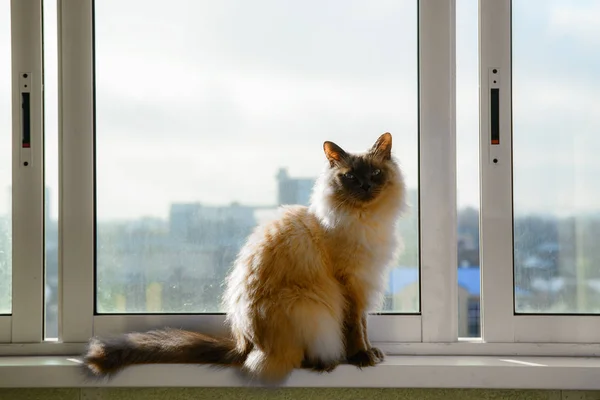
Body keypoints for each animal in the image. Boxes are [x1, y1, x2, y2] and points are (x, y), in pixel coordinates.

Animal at [82, 133, 406, 382]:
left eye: (375, 174)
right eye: (350, 177)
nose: (365, 186)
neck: (365, 220)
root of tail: (243, 344)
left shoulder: (364, 283)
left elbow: (363, 326)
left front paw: (372, 353)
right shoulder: (350, 284)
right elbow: (354, 328)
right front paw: (361, 357)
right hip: (308, 306)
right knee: (292, 359)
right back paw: (327, 362)